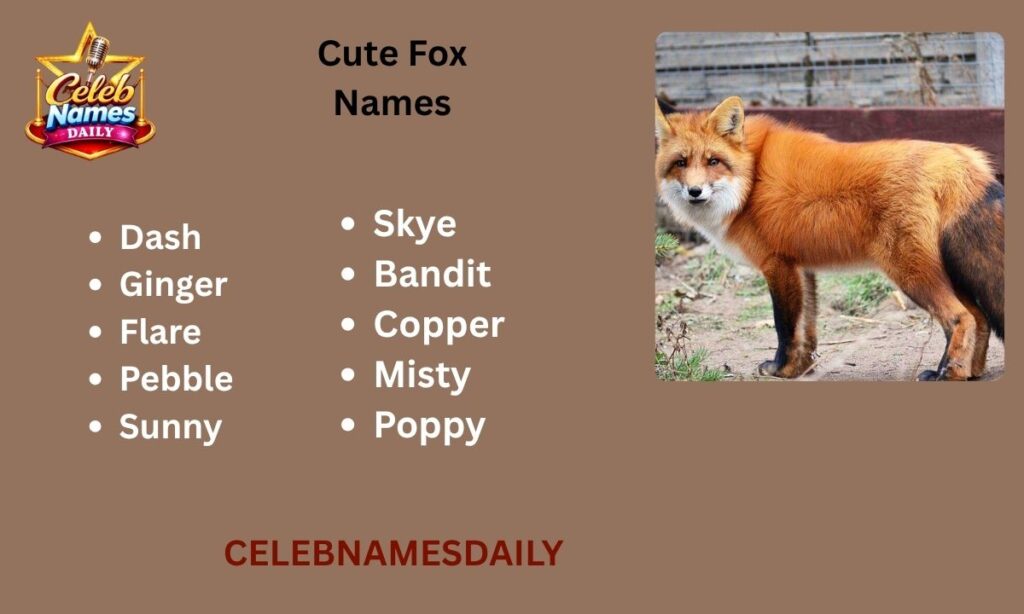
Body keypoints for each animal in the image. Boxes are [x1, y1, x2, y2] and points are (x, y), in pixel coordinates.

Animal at [655, 96, 1004, 380]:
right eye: (680, 163)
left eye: (713, 161)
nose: (694, 191)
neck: (751, 181)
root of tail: (959, 158)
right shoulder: (801, 267)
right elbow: (807, 331)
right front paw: (800, 370)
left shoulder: (777, 265)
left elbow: (785, 328)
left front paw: (780, 369)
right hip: (949, 271)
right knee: (981, 319)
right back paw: (971, 372)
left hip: (911, 272)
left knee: (960, 318)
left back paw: (948, 374)